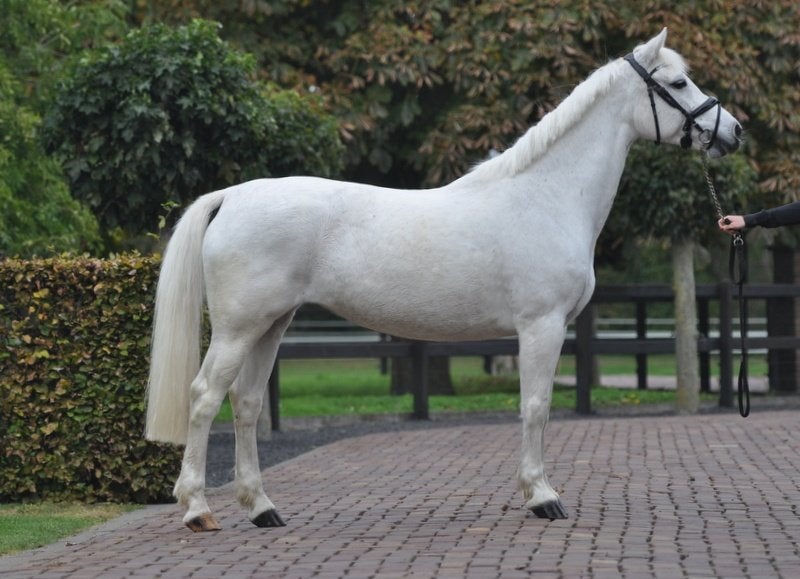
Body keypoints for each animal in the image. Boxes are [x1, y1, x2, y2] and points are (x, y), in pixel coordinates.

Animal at [145, 28, 742, 532]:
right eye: (677, 83)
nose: (733, 131)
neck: (546, 195)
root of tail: (232, 196)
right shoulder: (542, 326)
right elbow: (536, 406)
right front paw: (542, 496)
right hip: (238, 329)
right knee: (204, 398)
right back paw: (197, 509)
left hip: (271, 325)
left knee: (245, 404)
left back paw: (262, 508)